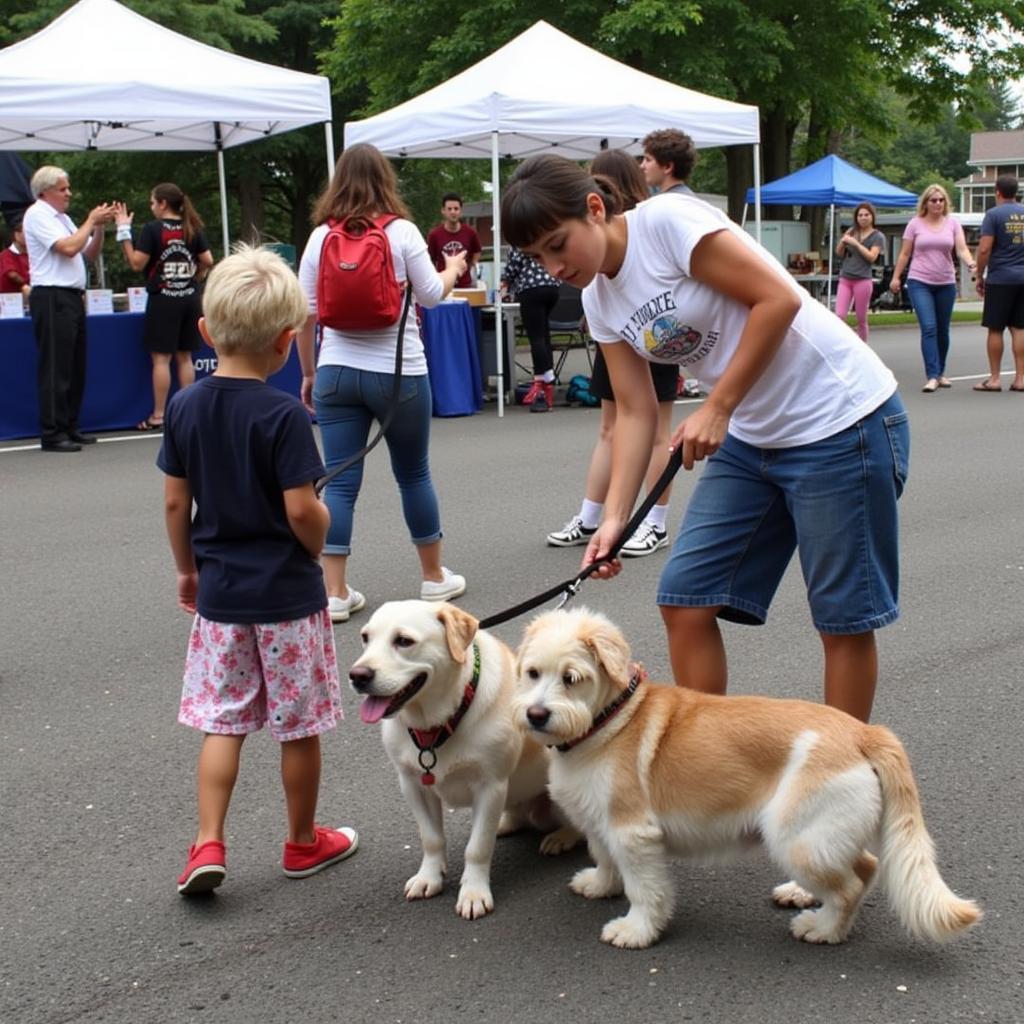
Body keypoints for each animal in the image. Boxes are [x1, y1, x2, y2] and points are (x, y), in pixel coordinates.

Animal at [350, 598, 577, 921]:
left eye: (403, 641)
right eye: (365, 638)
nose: (357, 675)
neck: (437, 723)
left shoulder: (490, 785)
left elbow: (477, 847)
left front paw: (474, 892)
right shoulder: (412, 784)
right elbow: (431, 838)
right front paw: (429, 877)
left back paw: (562, 836)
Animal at [516, 606, 978, 950]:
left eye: (572, 678)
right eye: (532, 673)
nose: (536, 715)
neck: (608, 722)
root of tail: (863, 732)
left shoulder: (633, 833)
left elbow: (645, 890)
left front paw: (636, 930)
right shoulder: (600, 823)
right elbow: (604, 858)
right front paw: (599, 885)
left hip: (798, 837)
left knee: (850, 885)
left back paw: (822, 929)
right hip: (823, 835)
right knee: (865, 866)